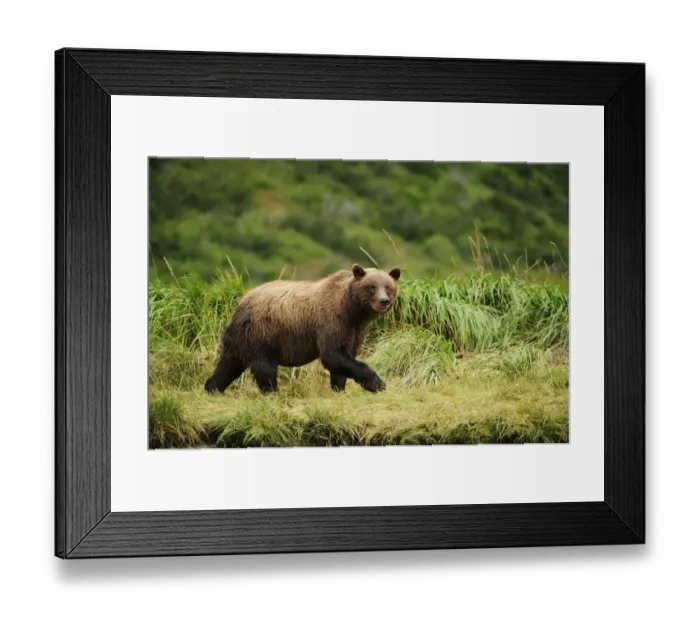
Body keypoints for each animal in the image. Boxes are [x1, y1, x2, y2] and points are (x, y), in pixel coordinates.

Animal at [204, 264, 401, 395]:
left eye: (388, 287)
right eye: (372, 287)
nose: (383, 301)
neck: (352, 310)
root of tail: (240, 304)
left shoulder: (355, 330)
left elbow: (345, 358)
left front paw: (339, 388)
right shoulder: (331, 321)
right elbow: (333, 354)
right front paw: (377, 383)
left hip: (240, 340)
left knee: (228, 365)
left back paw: (212, 388)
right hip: (262, 333)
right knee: (264, 367)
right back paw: (272, 393)